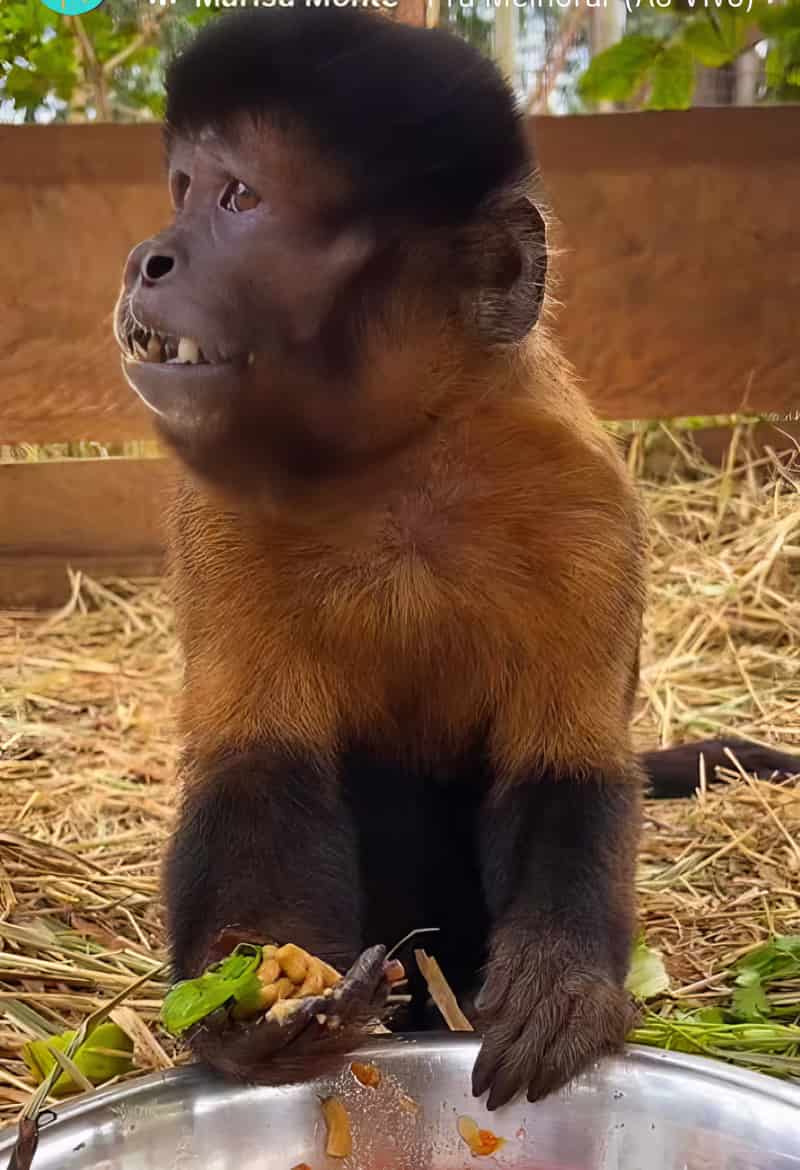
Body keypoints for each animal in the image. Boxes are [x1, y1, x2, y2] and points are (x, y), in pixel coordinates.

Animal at [113, 8, 800, 1109]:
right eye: (182, 191)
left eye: (240, 199)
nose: (151, 256)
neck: (400, 462)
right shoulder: (217, 509)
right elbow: (259, 764)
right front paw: (256, 1006)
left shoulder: (586, 498)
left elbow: (563, 765)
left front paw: (560, 983)